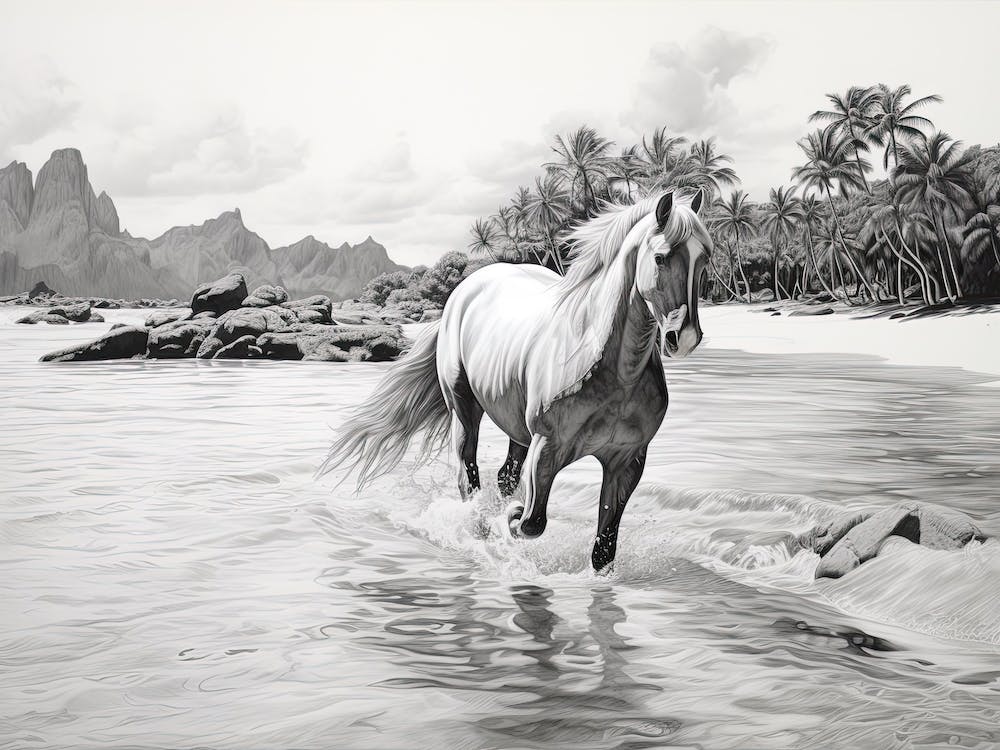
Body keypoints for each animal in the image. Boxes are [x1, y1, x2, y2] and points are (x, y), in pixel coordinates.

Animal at [322, 189, 713, 572]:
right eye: (661, 257)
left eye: (705, 259)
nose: (684, 337)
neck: (611, 368)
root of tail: (463, 291)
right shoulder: (547, 447)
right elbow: (532, 522)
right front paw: (510, 518)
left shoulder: (626, 461)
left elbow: (603, 551)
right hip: (464, 410)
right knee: (469, 476)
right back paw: (480, 532)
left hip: (515, 428)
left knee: (504, 476)